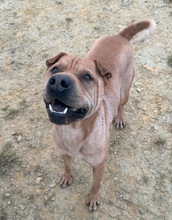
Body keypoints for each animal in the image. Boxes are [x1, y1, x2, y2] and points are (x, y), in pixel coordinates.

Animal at [42, 19, 156, 212]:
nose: (58, 81)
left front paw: (93, 199)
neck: (73, 130)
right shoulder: (64, 153)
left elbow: (95, 185)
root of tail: (119, 36)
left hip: (124, 92)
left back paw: (119, 119)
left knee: (121, 106)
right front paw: (67, 177)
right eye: (55, 69)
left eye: (87, 77)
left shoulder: (99, 165)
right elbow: (67, 166)